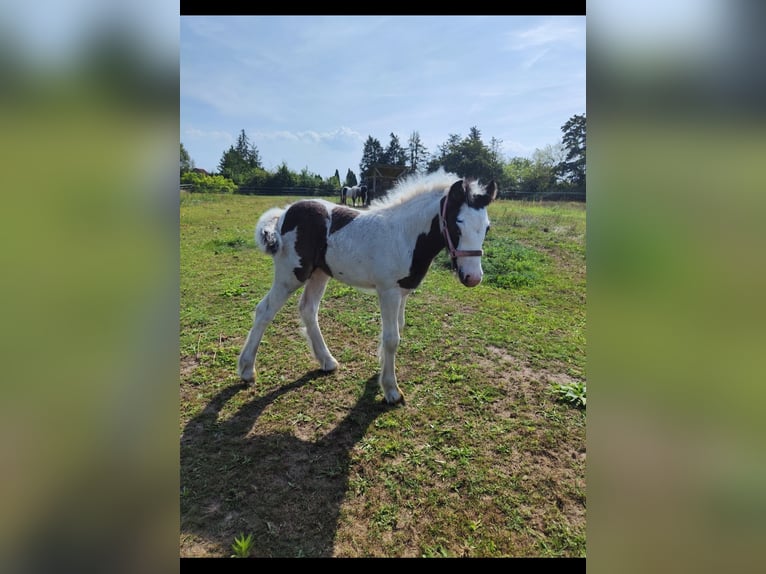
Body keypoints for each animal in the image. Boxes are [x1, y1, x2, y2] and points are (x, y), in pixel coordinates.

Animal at [238, 171, 498, 404]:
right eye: (457, 225)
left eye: (487, 228)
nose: (473, 277)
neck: (405, 235)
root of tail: (284, 213)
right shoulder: (388, 291)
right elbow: (392, 338)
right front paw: (392, 390)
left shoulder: (402, 292)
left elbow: (397, 329)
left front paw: (382, 371)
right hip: (290, 275)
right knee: (265, 310)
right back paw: (247, 370)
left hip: (319, 274)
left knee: (308, 310)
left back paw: (327, 361)